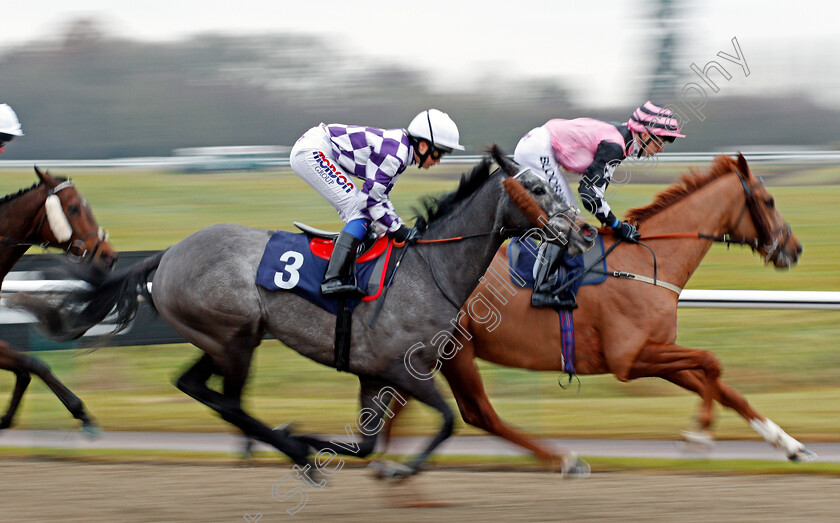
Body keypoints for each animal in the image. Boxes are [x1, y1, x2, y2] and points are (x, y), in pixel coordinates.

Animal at [14, 147, 596, 478]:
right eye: (537, 188)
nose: (585, 232)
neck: (428, 269)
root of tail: (171, 252)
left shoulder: (374, 375)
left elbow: (366, 445)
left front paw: (318, 438)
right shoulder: (399, 368)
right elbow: (450, 421)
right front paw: (399, 468)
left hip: (223, 339)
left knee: (196, 387)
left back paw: (292, 447)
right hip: (235, 338)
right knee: (229, 401)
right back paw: (299, 458)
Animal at [386, 155, 812, 466]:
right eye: (769, 201)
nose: (794, 249)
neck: (649, 263)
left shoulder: (655, 351)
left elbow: (723, 386)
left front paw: (790, 444)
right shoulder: (629, 359)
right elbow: (711, 361)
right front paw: (698, 435)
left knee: (396, 411)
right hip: (455, 352)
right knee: (476, 414)